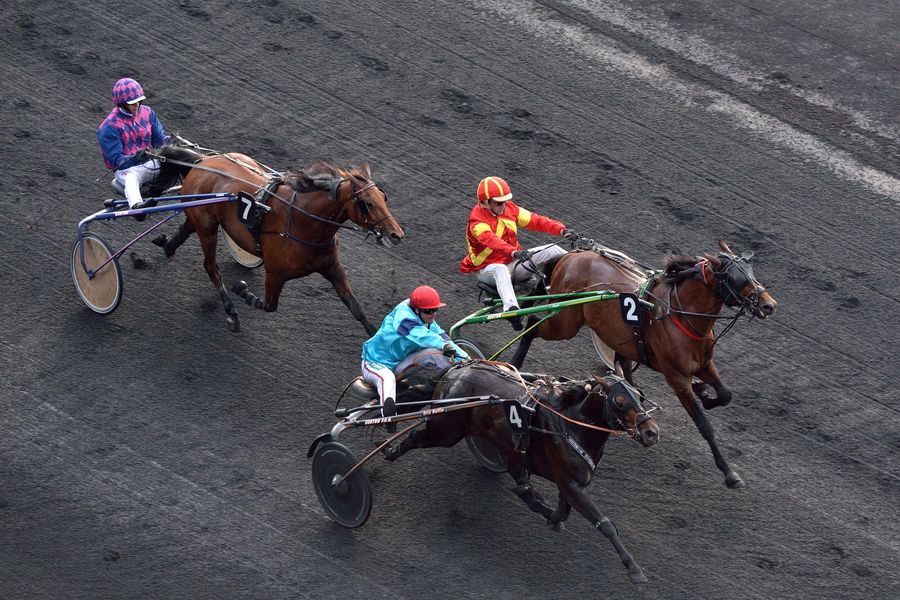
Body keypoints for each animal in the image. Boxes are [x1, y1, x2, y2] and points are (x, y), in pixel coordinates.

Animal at [510, 239, 776, 488]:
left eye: (750, 271)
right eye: (734, 278)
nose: (769, 304)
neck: (679, 314)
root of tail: (573, 255)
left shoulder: (704, 364)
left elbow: (725, 394)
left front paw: (704, 393)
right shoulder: (677, 378)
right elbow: (704, 424)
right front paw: (730, 473)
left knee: (622, 363)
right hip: (564, 322)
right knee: (532, 325)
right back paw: (515, 363)